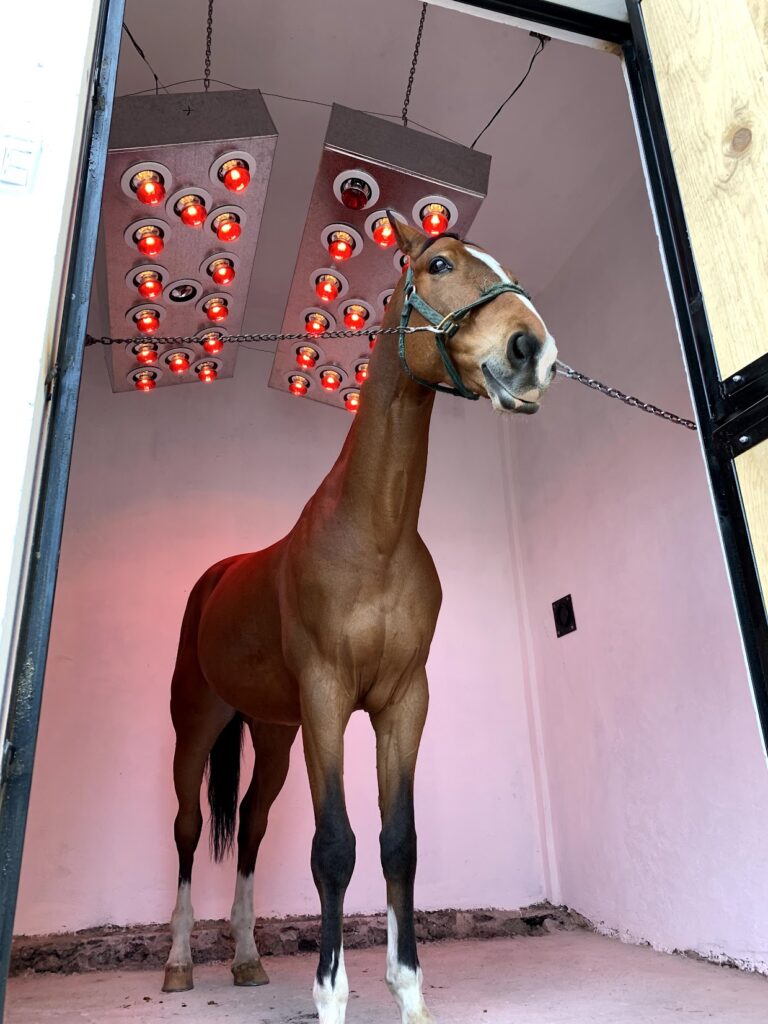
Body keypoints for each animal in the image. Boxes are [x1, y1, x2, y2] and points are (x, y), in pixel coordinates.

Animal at [162, 215, 558, 1024]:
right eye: (439, 265)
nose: (532, 349)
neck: (373, 535)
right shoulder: (327, 700)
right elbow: (335, 847)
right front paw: (331, 993)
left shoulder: (402, 702)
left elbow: (397, 840)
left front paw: (409, 991)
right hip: (200, 726)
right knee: (188, 828)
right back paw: (181, 962)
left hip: (275, 737)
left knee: (251, 825)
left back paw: (246, 958)